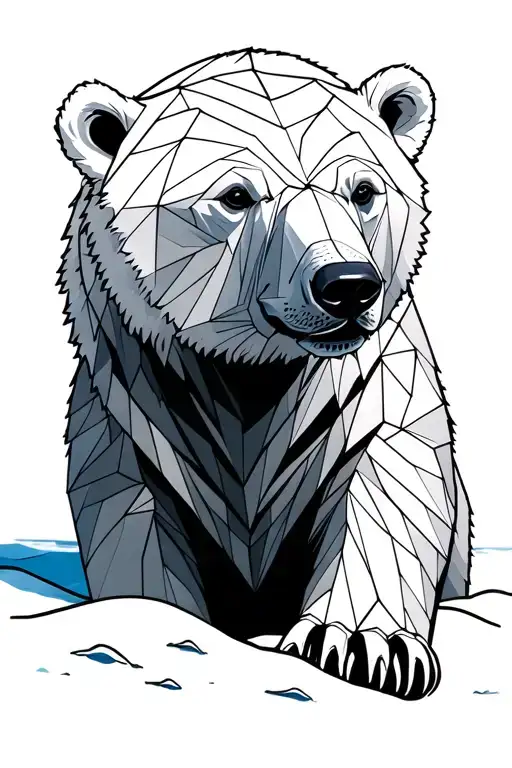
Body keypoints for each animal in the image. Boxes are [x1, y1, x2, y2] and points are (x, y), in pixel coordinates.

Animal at [56, 48, 472, 701]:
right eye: (235, 194)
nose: (348, 286)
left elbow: (388, 490)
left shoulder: (374, 386)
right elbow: (132, 513)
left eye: (363, 189)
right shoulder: (134, 396)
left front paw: (365, 644)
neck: (255, 373)